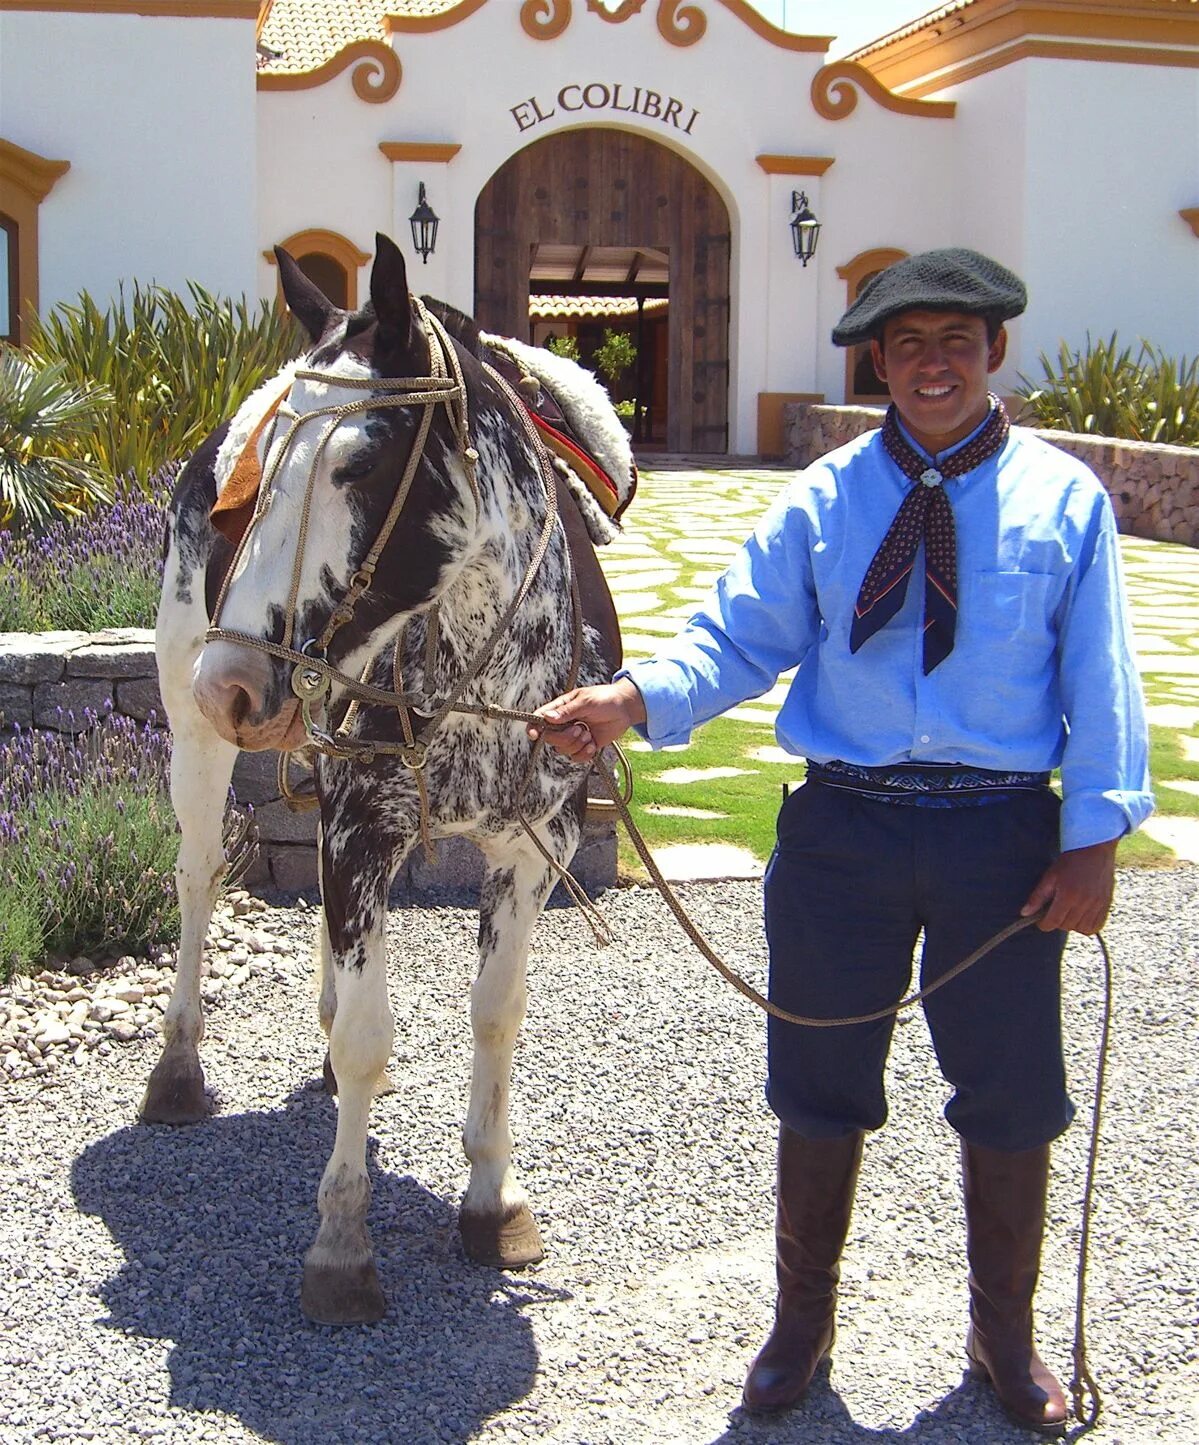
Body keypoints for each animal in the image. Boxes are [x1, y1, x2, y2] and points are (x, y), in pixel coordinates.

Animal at [143, 234, 638, 1323]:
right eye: (263, 471)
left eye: (359, 461)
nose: (230, 682)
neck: (477, 670)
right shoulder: (358, 829)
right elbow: (372, 1034)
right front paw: (340, 1241)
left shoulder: (530, 848)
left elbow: (495, 1012)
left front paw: (490, 1199)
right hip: (195, 744)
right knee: (196, 880)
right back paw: (178, 1068)